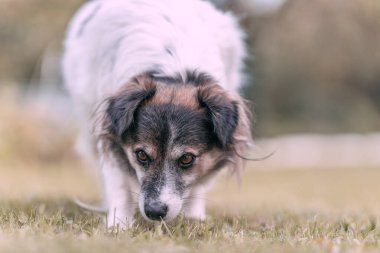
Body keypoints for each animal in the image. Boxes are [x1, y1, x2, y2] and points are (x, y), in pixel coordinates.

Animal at [63, 0, 251, 229]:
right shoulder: (108, 133)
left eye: (187, 158)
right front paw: (118, 225)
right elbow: (119, 181)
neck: (177, 70)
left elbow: (198, 182)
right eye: (141, 155)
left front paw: (194, 219)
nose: (154, 212)